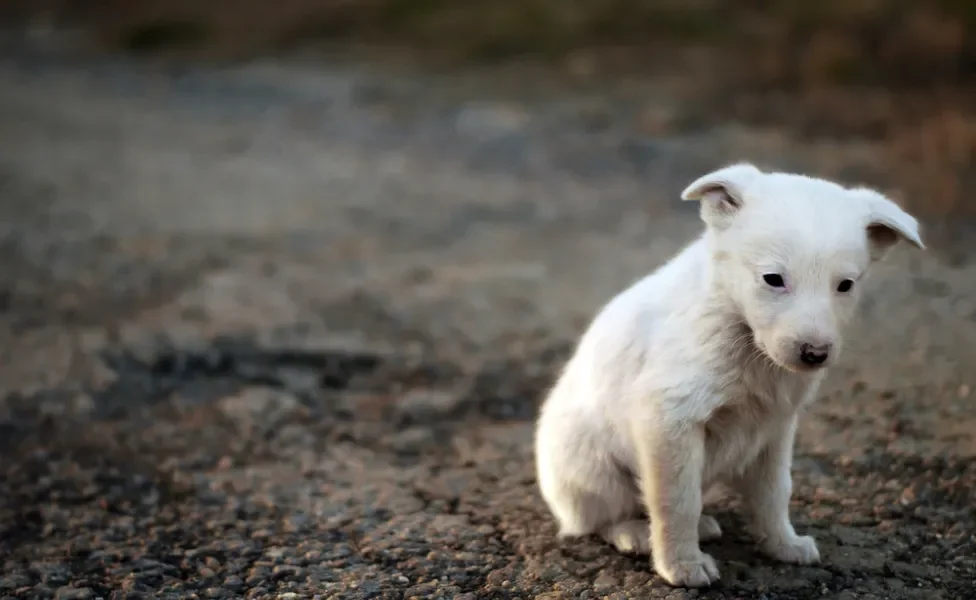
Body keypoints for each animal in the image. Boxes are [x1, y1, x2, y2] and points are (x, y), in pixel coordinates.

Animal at [532, 163, 924, 584]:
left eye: (845, 285)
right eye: (773, 279)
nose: (815, 354)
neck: (742, 332)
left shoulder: (775, 429)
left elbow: (774, 493)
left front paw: (783, 544)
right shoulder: (669, 420)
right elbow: (677, 501)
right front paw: (682, 565)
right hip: (591, 468)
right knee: (599, 518)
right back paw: (633, 532)